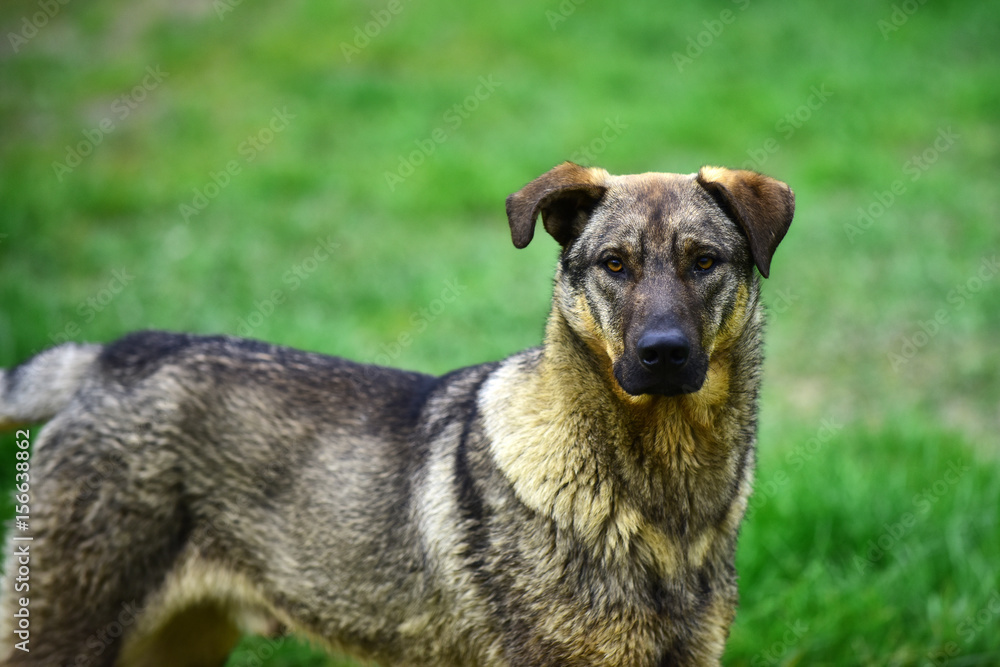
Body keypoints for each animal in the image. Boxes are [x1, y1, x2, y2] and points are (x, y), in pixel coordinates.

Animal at [1, 163, 796, 667]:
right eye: (615, 264)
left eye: (703, 261)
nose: (663, 354)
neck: (663, 497)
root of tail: (105, 358)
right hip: (68, 628)